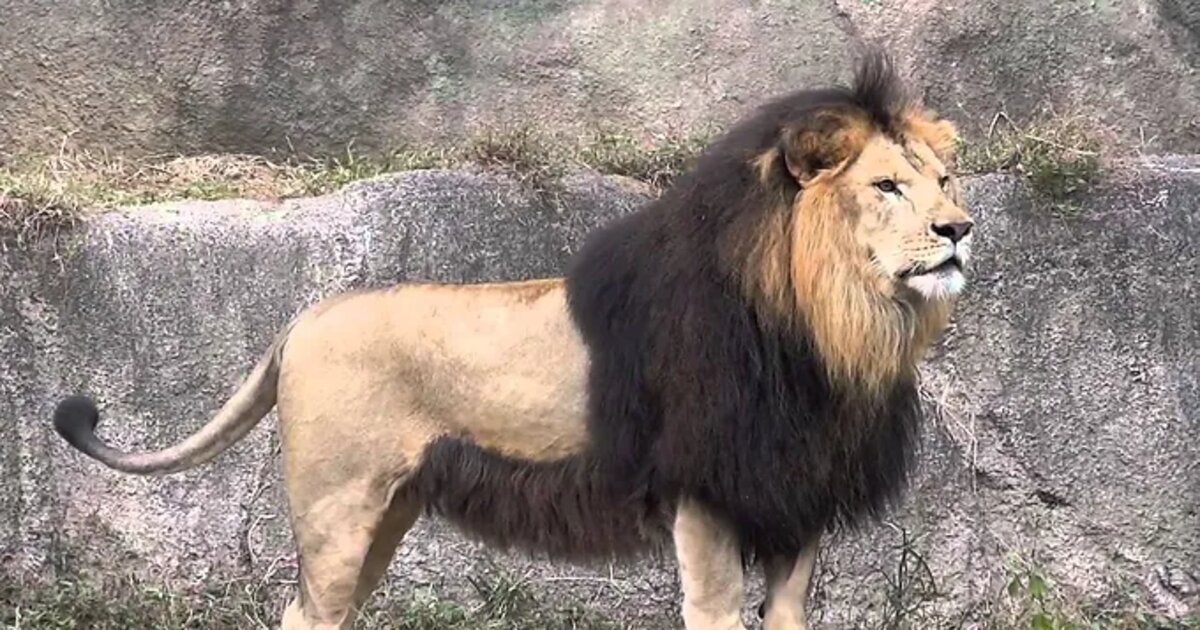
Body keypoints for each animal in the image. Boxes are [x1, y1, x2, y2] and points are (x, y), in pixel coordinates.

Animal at [51, 49, 974, 630]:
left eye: (944, 180)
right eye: (886, 186)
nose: (961, 228)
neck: (830, 326)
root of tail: (301, 319)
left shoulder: (794, 504)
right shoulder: (705, 498)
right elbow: (713, 614)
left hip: (385, 511)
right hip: (335, 506)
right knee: (304, 614)